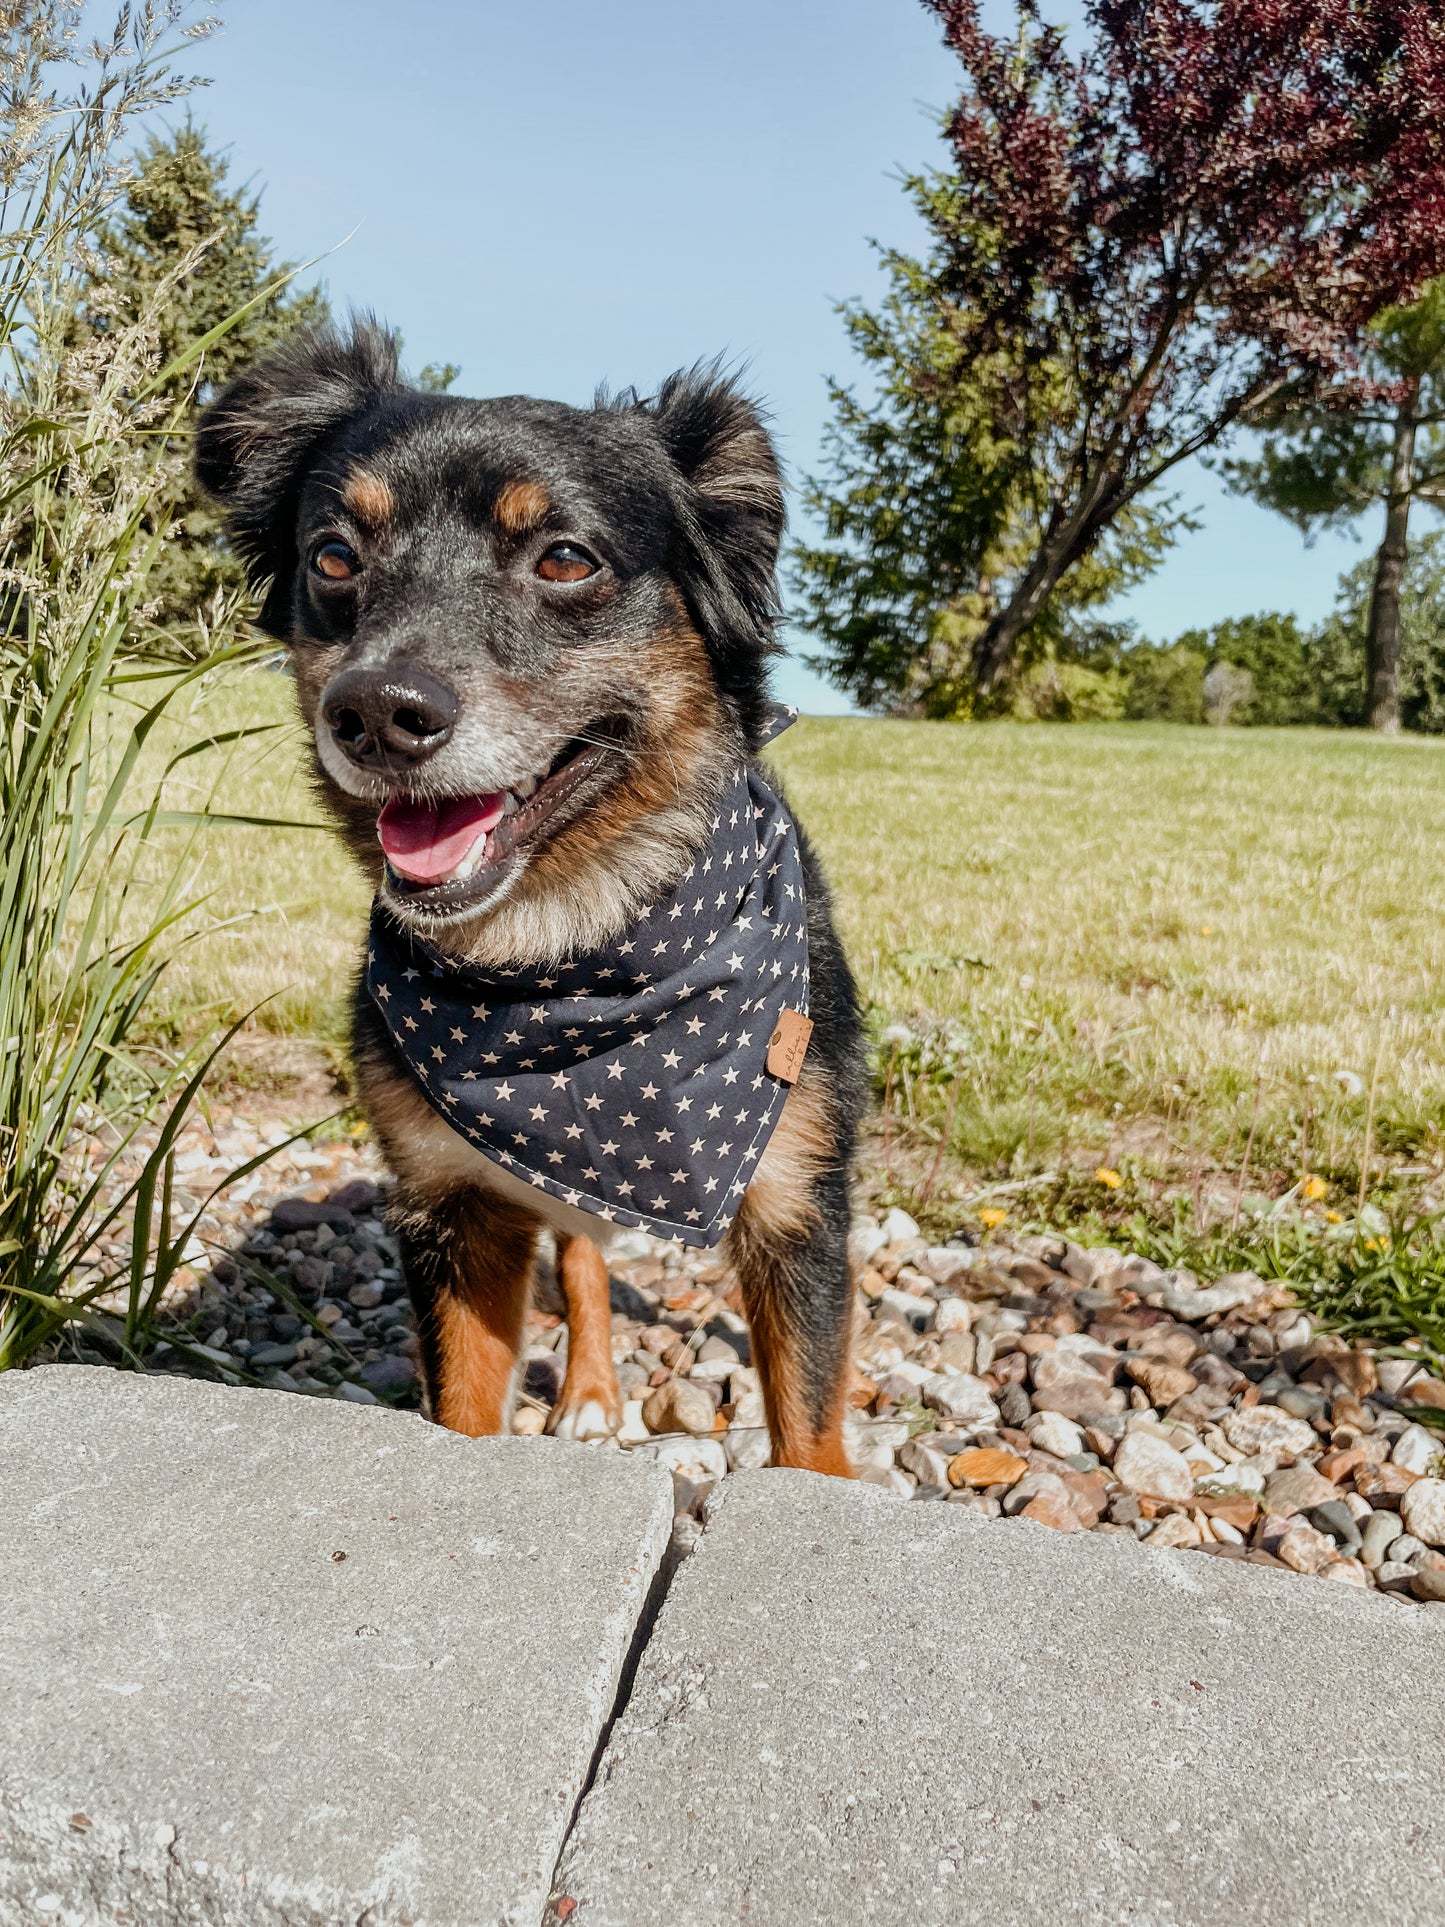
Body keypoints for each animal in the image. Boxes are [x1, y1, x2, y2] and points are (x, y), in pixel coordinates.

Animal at [196, 327, 867, 1472]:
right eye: (334, 556)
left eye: (564, 558)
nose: (376, 712)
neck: (563, 947)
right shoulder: (454, 1205)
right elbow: (465, 1405)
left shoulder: (795, 1202)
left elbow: (809, 1434)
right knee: (584, 1249)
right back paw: (591, 1391)